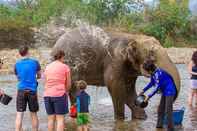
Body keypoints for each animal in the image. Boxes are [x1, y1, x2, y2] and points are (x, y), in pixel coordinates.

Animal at [51, 25, 181, 119]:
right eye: (152, 54)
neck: (133, 37)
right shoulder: (115, 61)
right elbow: (116, 86)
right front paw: (120, 119)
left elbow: (128, 90)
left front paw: (141, 118)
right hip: (69, 64)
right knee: (74, 89)